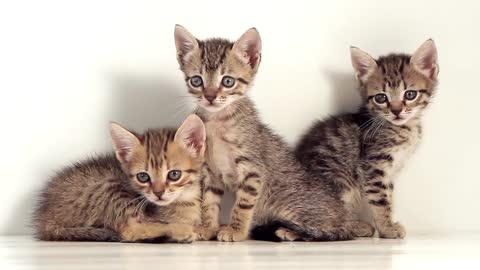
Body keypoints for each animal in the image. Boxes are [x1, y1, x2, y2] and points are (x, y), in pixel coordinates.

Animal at [33, 114, 206, 243]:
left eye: (174, 174)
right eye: (143, 177)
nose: (158, 193)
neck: (184, 202)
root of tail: (45, 219)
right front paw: (186, 229)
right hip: (109, 186)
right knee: (130, 231)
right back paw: (180, 232)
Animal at [173, 24, 352, 242]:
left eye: (228, 81)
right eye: (197, 81)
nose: (210, 97)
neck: (217, 122)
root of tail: (346, 215)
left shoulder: (253, 171)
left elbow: (242, 206)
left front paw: (236, 231)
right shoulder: (211, 174)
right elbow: (209, 202)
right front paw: (208, 228)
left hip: (289, 203)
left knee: (327, 230)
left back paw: (289, 231)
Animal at [292, 40, 438, 238]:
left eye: (410, 94)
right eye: (381, 98)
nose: (396, 111)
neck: (403, 128)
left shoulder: (389, 171)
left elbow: (389, 198)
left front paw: (387, 225)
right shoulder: (373, 165)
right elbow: (380, 200)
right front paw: (387, 229)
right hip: (339, 182)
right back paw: (355, 226)